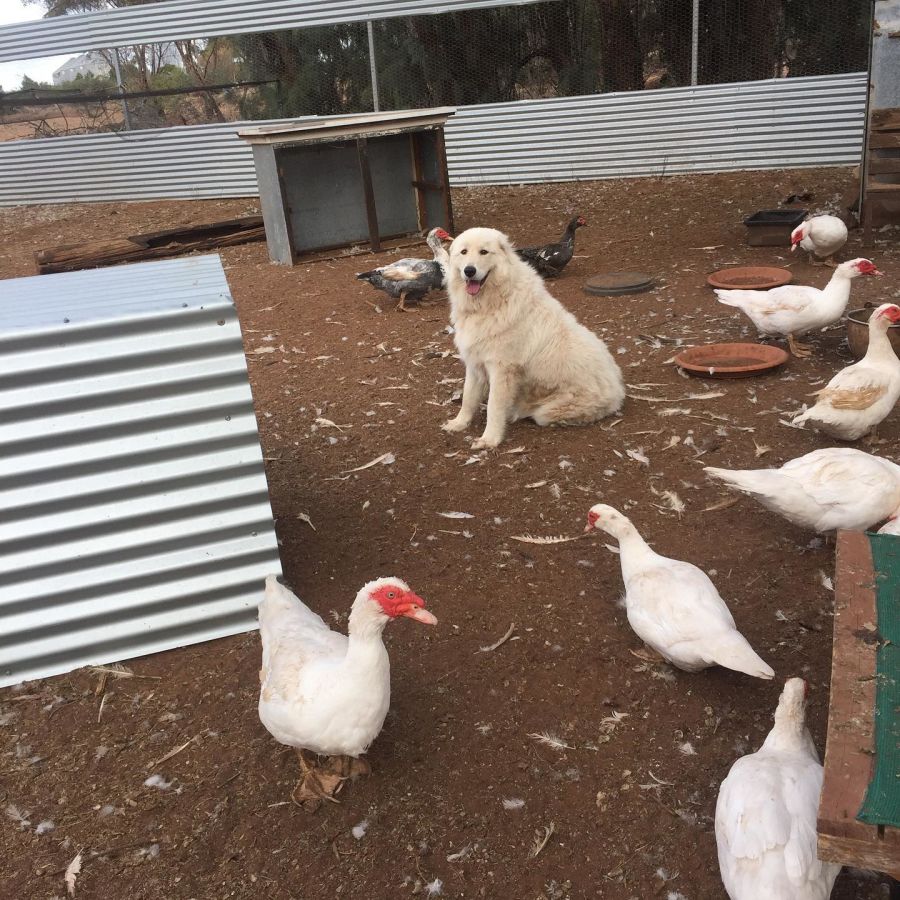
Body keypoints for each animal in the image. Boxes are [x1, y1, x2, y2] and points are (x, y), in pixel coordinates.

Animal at [441, 227, 625, 449]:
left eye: (484, 252)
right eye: (464, 252)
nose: (469, 270)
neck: (492, 302)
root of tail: (619, 388)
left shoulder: (502, 370)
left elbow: (494, 406)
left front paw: (490, 439)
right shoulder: (475, 363)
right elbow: (468, 398)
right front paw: (459, 424)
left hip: (549, 411)